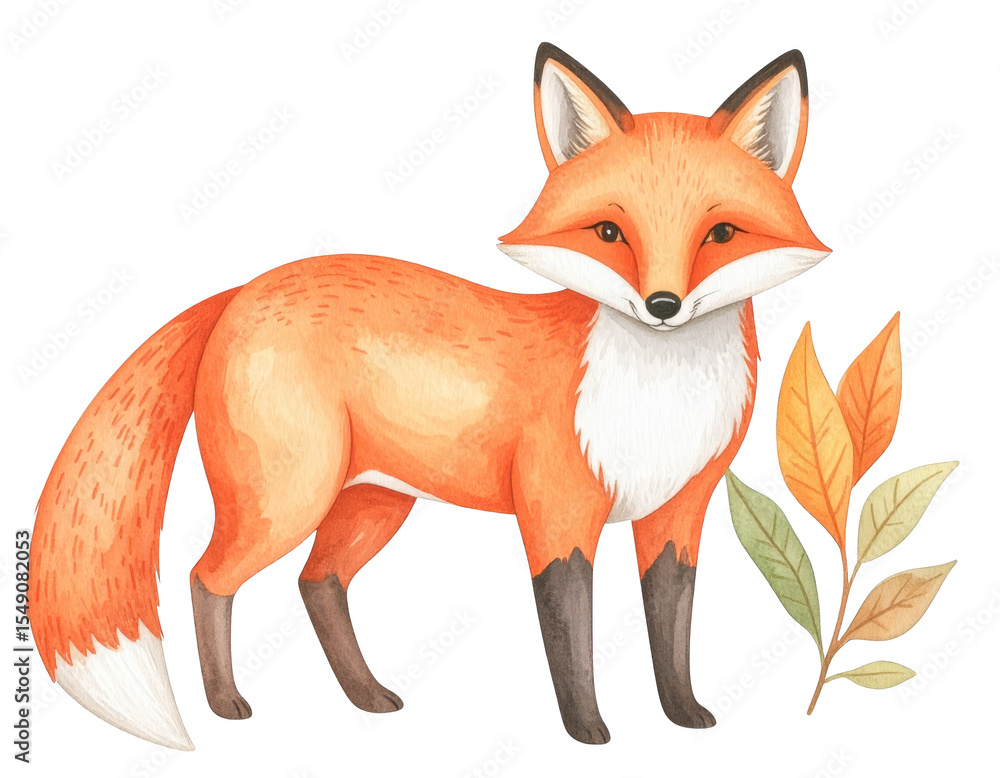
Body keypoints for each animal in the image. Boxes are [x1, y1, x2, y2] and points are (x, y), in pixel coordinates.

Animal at [29, 43, 829, 748]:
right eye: (608, 231)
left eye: (721, 234)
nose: (664, 305)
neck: (658, 399)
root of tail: (245, 288)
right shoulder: (557, 514)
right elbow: (571, 644)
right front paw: (589, 732)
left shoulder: (677, 514)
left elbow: (673, 632)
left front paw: (683, 715)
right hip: (287, 499)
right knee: (206, 579)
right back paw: (226, 703)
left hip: (373, 503)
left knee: (317, 583)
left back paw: (366, 696)